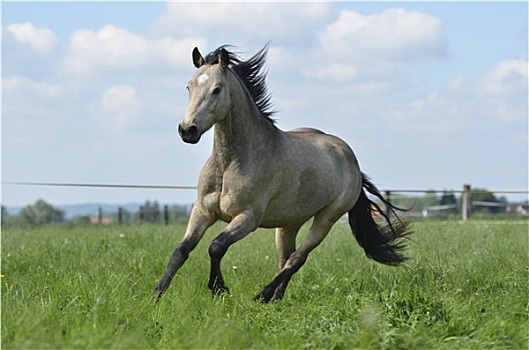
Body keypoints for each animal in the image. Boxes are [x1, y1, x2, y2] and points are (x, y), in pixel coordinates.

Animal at [152, 43, 408, 302]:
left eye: (217, 89)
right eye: (189, 86)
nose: (187, 130)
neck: (231, 163)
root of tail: (350, 157)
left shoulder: (248, 217)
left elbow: (216, 246)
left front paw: (219, 289)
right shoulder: (203, 211)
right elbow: (181, 250)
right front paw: (156, 295)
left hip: (327, 217)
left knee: (297, 258)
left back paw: (262, 295)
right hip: (289, 223)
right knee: (286, 258)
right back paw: (275, 297)